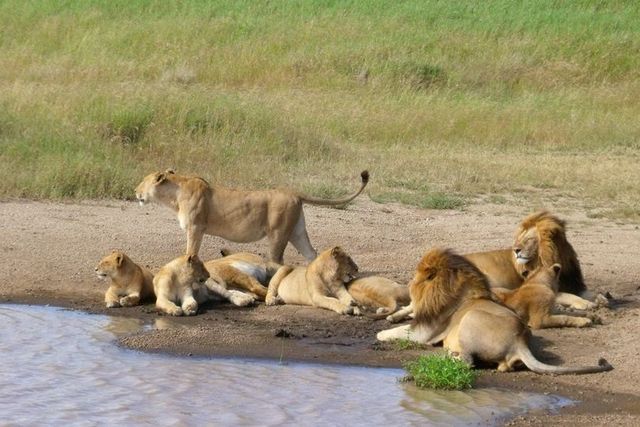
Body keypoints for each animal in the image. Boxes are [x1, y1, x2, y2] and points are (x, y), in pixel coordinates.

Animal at [134, 169, 370, 262]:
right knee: (311, 254)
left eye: (143, 181)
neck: (175, 194)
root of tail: (294, 192)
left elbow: (190, 252)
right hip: (297, 231)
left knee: (277, 260)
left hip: (278, 232)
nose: (135, 191)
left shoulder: (196, 228)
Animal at [378, 249, 612, 376]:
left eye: (417, 277)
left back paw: (449, 358)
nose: (409, 285)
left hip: (471, 318)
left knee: (468, 362)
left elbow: (395, 332)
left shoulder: (426, 332)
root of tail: (519, 341)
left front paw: (380, 333)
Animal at [464, 212, 596, 310]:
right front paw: (585, 303)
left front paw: (597, 299)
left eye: (529, 239)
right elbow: (567, 295)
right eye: (520, 239)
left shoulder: (574, 284)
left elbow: (589, 293)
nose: (515, 250)